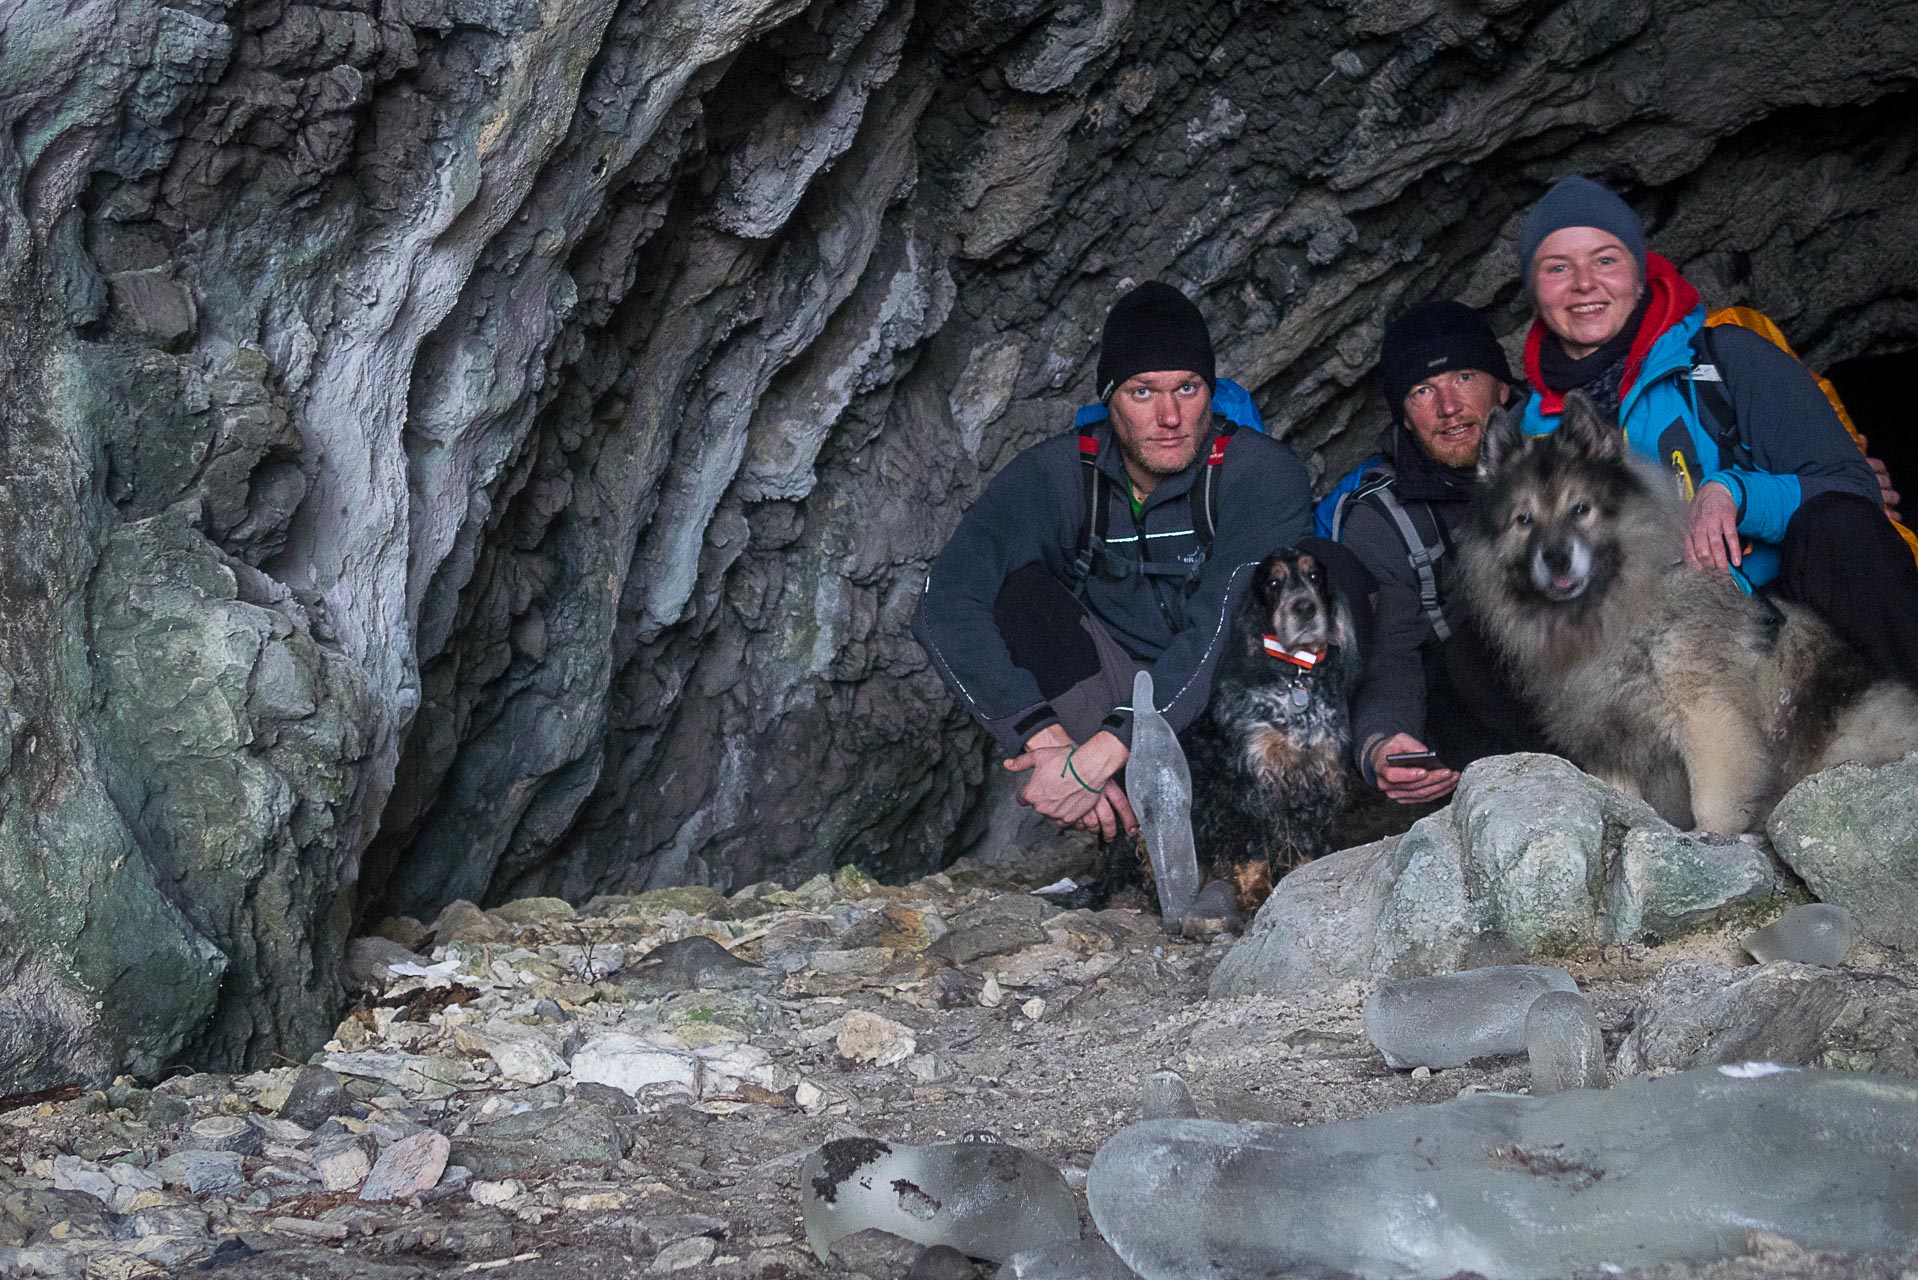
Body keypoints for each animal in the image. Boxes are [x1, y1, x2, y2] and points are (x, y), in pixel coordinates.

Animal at [1450, 393, 1918, 832]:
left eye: (1580, 508)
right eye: (1523, 520)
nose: (1557, 558)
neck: (1614, 617)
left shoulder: (1706, 719)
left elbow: (1712, 804)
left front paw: (1711, 840)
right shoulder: (1609, 745)